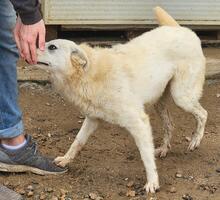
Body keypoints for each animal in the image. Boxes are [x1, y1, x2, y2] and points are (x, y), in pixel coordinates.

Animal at [36, 7, 208, 193]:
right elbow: (77, 141)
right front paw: (66, 159)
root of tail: (181, 29)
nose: (28, 48)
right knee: (170, 124)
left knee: (203, 114)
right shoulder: (92, 119)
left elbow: (146, 156)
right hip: (160, 101)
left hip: (181, 96)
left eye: (52, 47)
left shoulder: (139, 122)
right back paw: (164, 149)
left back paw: (195, 141)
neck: (89, 73)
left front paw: (152, 182)